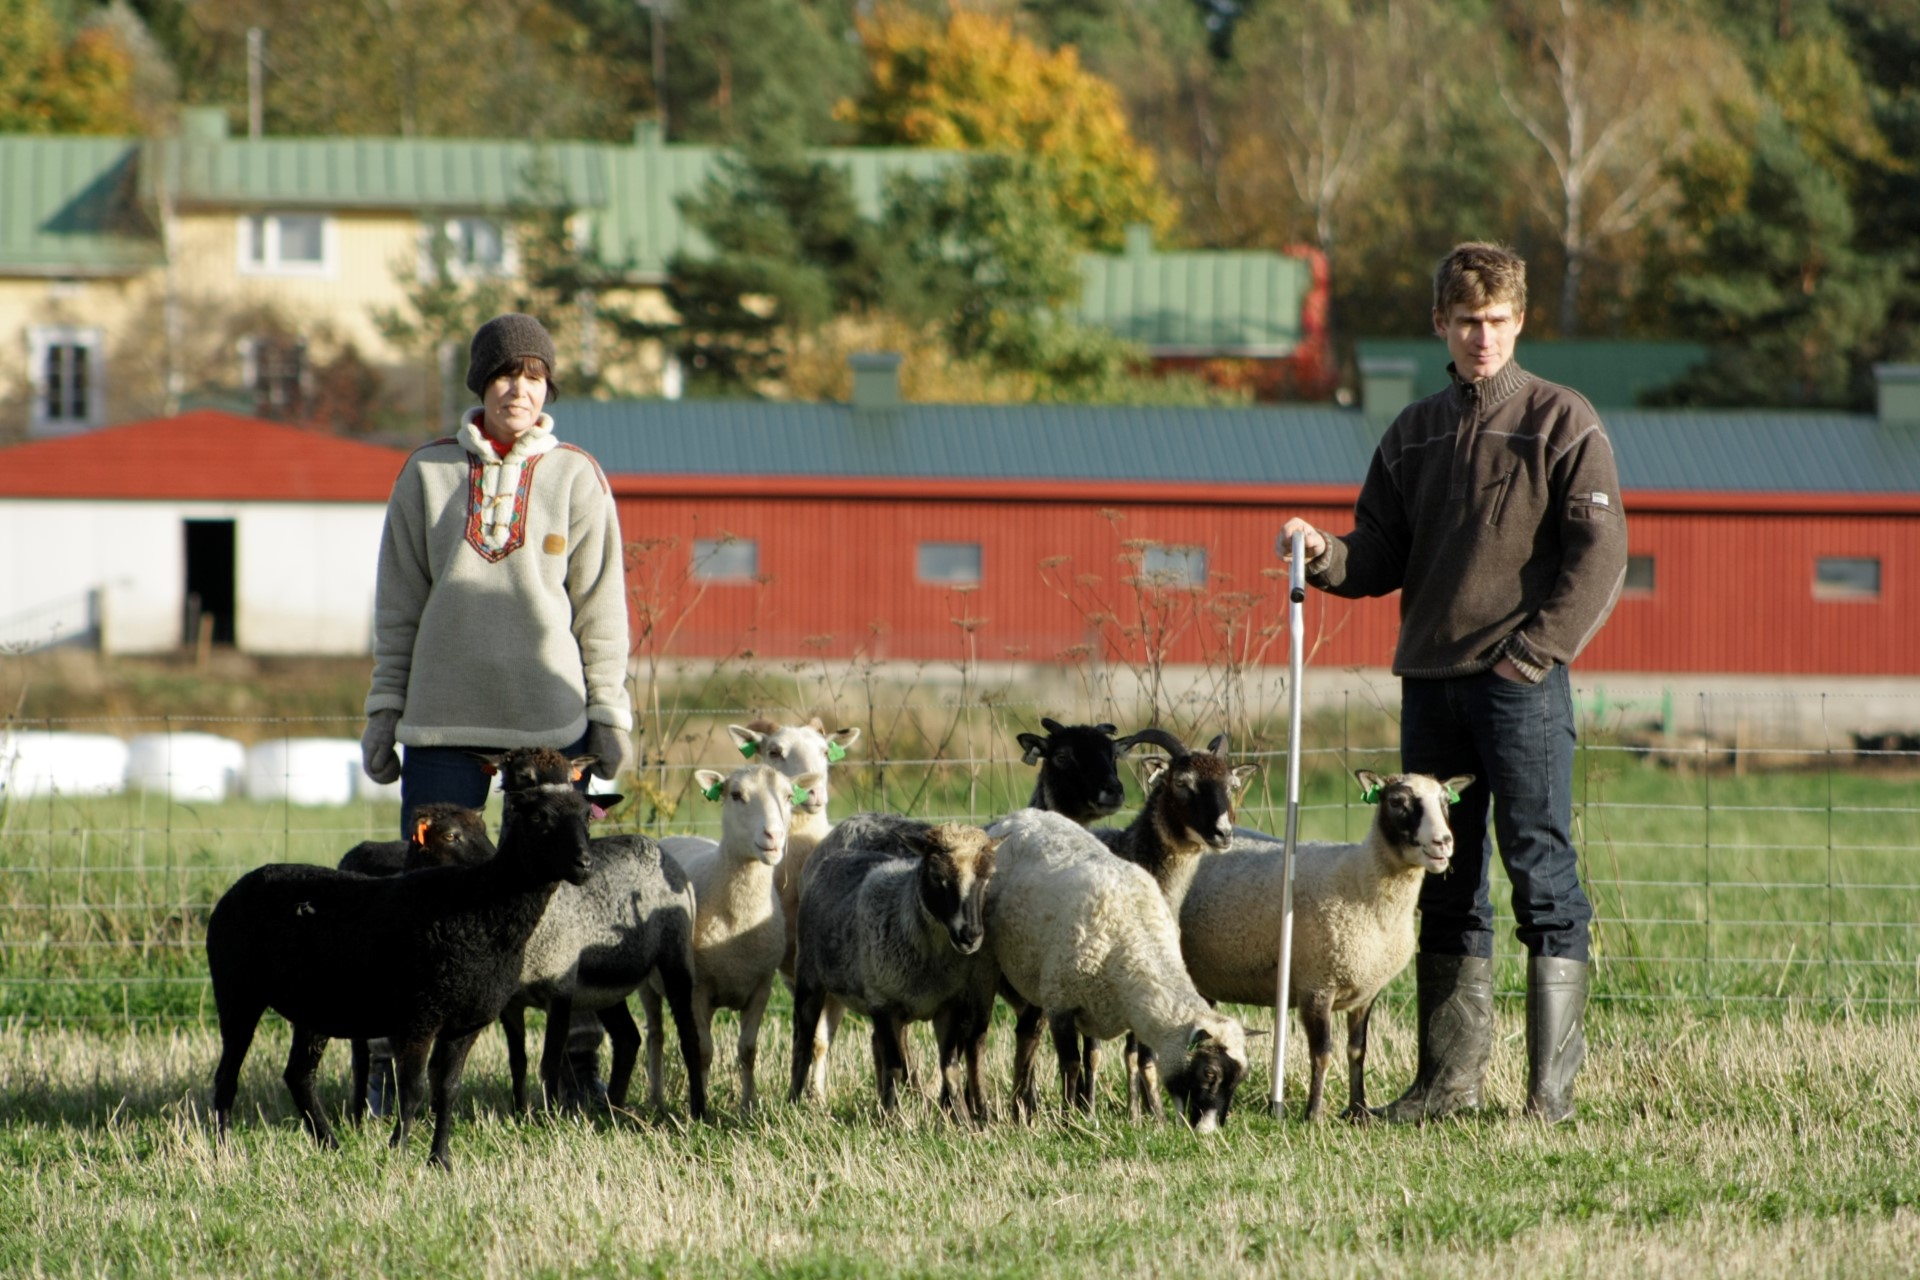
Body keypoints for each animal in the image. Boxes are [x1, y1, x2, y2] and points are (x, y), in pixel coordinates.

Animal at [205, 782, 595, 1174]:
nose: (585, 864)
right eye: (539, 817)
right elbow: (412, 1089)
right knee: (227, 1078)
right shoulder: (419, 1016)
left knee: (298, 1075)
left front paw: (440, 1160)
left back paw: (332, 1147)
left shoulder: (464, 1025)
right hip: (236, 991)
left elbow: (448, 1089)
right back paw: (224, 1154)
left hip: (312, 1006)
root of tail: (239, 886)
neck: (481, 906)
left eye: (587, 817)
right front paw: (398, 1153)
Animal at [648, 767, 821, 1113]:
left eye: (788, 796)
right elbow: (703, 1051)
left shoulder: (760, 987)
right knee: (656, 1036)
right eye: (737, 795)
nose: (774, 837)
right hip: (647, 985)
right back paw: (656, 1100)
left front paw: (748, 1106)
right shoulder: (698, 990)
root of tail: (671, 838)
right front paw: (701, 1107)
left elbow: (747, 1050)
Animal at [791, 809, 1006, 1120]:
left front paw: (962, 1118)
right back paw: (792, 1103)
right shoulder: (884, 1003)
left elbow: (950, 1064)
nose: (970, 935)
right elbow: (894, 1064)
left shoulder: (950, 1004)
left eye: (987, 878)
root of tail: (833, 856)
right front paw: (892, 1119)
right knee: (803, 1042)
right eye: (937, 877)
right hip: (810, 978)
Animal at [990, 805, 1244, 1136]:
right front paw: (1069, 1122)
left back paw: (1022, 1109)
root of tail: (1020, 815)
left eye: (1237, 1082)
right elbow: (1071, 1064)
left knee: (1027, 1034)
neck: (1138, 941)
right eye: (1209, 1073)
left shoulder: (1138, 1017)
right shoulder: (1062, 1002)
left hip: (1035, 977)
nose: (1207, 1133)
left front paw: (1156, 1120)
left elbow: (1146, 1064)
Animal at [1167, 771, 1466, 1120]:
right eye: (1397, 802)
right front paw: (1313, 1115)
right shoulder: (1317, 985)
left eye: (1446, 803)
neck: (1362, 883)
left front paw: (1358, 1111)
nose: (1443, 842)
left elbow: (1357, 1051)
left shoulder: (1366, 989)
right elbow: (1322, 1054)